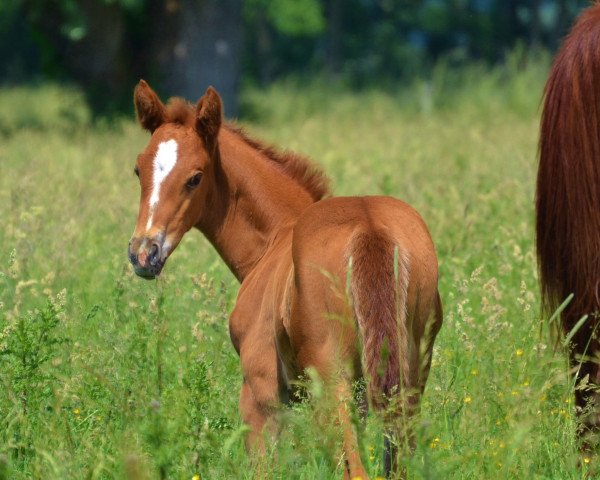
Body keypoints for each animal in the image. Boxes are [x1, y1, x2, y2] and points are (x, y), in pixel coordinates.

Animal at [129, 80, 442, 478]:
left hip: (331, 383)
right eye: (138, 171)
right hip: (408, 379)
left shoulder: (261, 394)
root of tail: (371, 229)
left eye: (195, 178)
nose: (144, 253)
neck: (276, 237)